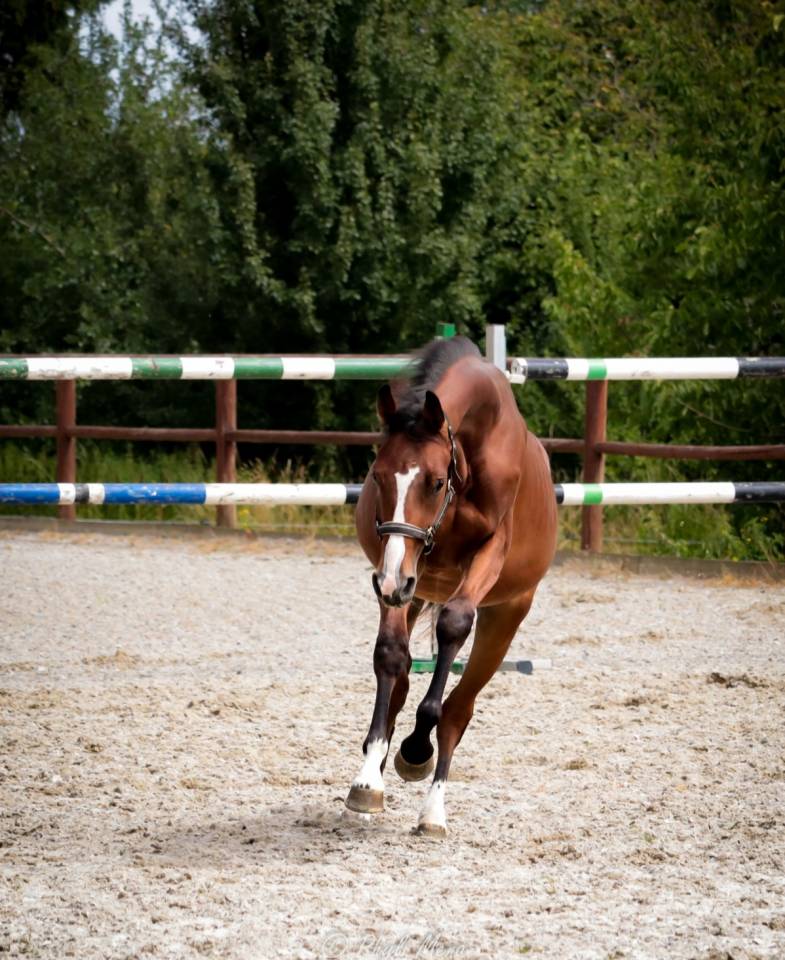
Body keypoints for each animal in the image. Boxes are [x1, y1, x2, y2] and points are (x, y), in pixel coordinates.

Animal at [345, 336, 558, 837]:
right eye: (377, 476)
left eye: (436, 481)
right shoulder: (403, 568)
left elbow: (455, 627)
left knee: (459, 707)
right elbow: (391, 657)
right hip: (417, 589)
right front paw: (367, 780)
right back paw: (381, 762)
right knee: (403, 680)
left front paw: (416, 749)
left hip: (505, 616)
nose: (390, 582)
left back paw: (432, 809)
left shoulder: (487, 555)